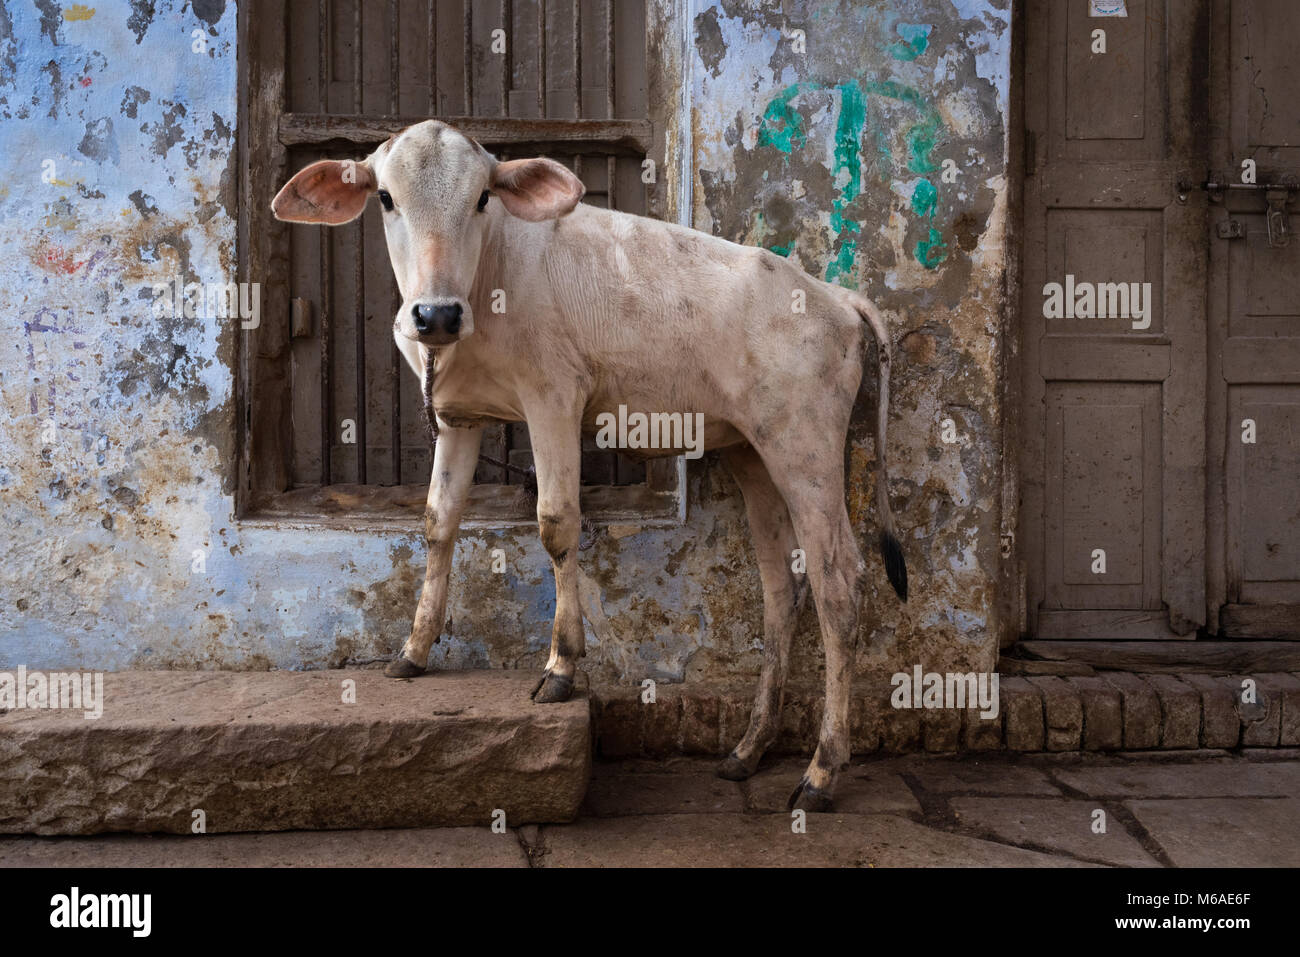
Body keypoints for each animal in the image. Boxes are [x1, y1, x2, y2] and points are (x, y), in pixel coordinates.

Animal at [272, 120, 907, 811]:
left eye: (482, 198)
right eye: (386, 198)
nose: (434, 315)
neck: (487, 285)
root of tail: (835, 295)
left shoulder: (553, 394)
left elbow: (556, 523)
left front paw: (561, 668)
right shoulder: (460, 416)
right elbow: (438, 522)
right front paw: (413, 651)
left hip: (805, 442)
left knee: (839, 582)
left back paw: (821, 772)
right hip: (752, 449)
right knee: (781, 586)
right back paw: (748, 749)